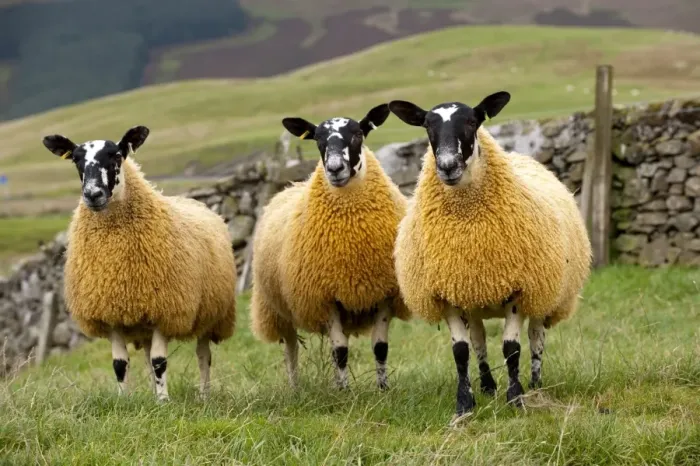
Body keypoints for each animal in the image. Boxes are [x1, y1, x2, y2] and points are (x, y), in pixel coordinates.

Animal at [41, 126, 237, 401]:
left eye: (116, 155)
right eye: (75, 159)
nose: (93, 195)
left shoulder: (165, 308)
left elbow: (159, 361)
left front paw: (164, 401)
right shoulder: (109, 312)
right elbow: (120, 364)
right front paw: (125, 401)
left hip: (210, 313)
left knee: (203, 355)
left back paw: (203, 395)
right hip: (142, 321)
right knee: (146, 355)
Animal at [250, 104, 411, 390]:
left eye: (358, 134)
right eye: (318, 140)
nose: (335, 169)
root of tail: (289, 186)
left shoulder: (384, 293)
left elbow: (380, 347)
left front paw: (383, 389)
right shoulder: (326, 297)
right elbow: (340, 351)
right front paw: (345, 392)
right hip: (277, 308)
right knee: (291, 349)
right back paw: (295, 389)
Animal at [388, 91, 591, 419]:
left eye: (473, 122)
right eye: (427, 125)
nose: (447, 165)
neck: (469, 228)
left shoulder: (519, 289)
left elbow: (512, 348)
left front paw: (516, 397)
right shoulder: (445, 292)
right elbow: (461, 350)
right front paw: (464, 403)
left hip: (545, 293)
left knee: (536, 339)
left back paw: (535, 384)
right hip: (473, 298)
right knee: (479, 340)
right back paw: (486, 386)